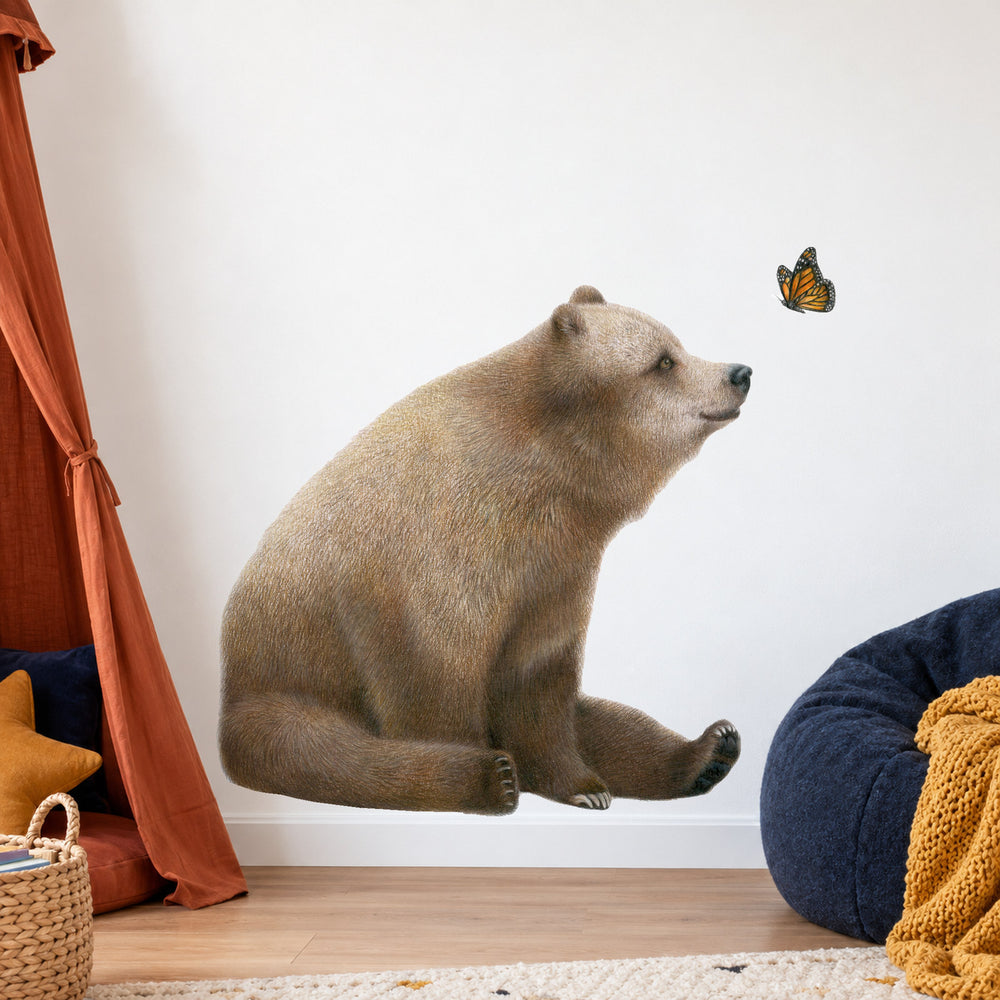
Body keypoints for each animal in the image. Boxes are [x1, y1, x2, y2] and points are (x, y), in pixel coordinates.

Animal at [219, 286, 750, 815]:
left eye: (676, 345)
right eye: (663, 361)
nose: (739, 373)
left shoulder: (556, 566)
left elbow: (539, 677)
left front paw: (584, 784)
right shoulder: (441, 554)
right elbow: (437, 673)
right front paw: (496, 770)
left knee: (608, 722)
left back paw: (711, 749)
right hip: (289, 682)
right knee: (326, 752)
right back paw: (487, 776)